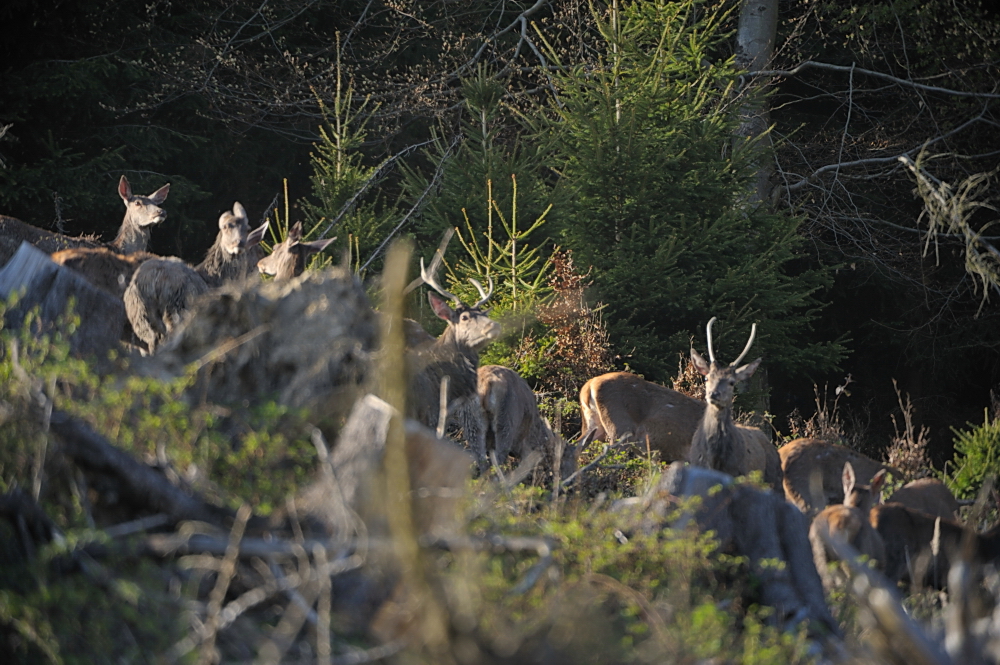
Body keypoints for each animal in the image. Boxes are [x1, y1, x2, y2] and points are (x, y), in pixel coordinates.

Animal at [684, 316, 784, 492]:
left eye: (731, 382)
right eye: (707, 378)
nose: (713, 394)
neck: (715, 459)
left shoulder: (738, 473)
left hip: (775, 477)